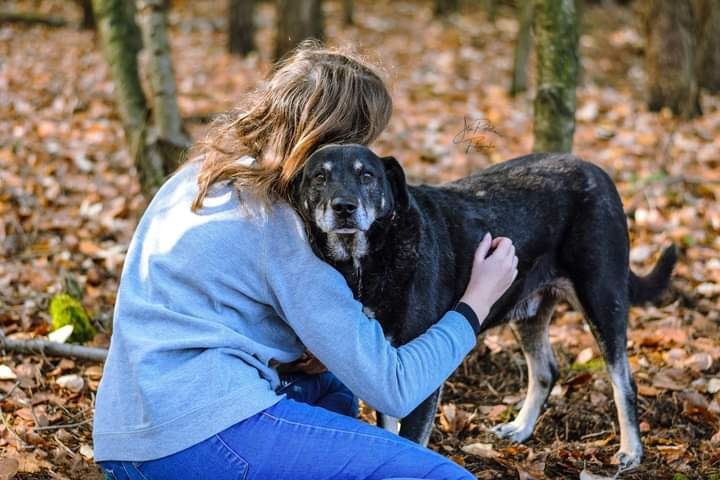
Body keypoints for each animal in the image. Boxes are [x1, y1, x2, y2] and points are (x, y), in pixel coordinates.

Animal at [286, 143, 676, 468]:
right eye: (320, 176)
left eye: (366, 175)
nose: (344, 208)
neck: (365, 262)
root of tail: (596, 170)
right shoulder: (387, 368)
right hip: (529, 309)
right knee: (546, 370)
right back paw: (520, 427)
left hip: (602, 297)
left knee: (624, 381)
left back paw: (631, 450)